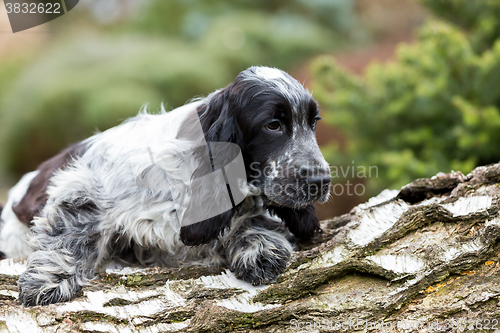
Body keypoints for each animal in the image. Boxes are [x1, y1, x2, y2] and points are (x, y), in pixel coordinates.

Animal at [0, 66, 330, 304]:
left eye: (313, 122)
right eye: (273, 125)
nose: (321, 180)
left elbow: (252, 214)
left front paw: (259, 246)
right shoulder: (83, 186)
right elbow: (71, 231)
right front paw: (50, 279)